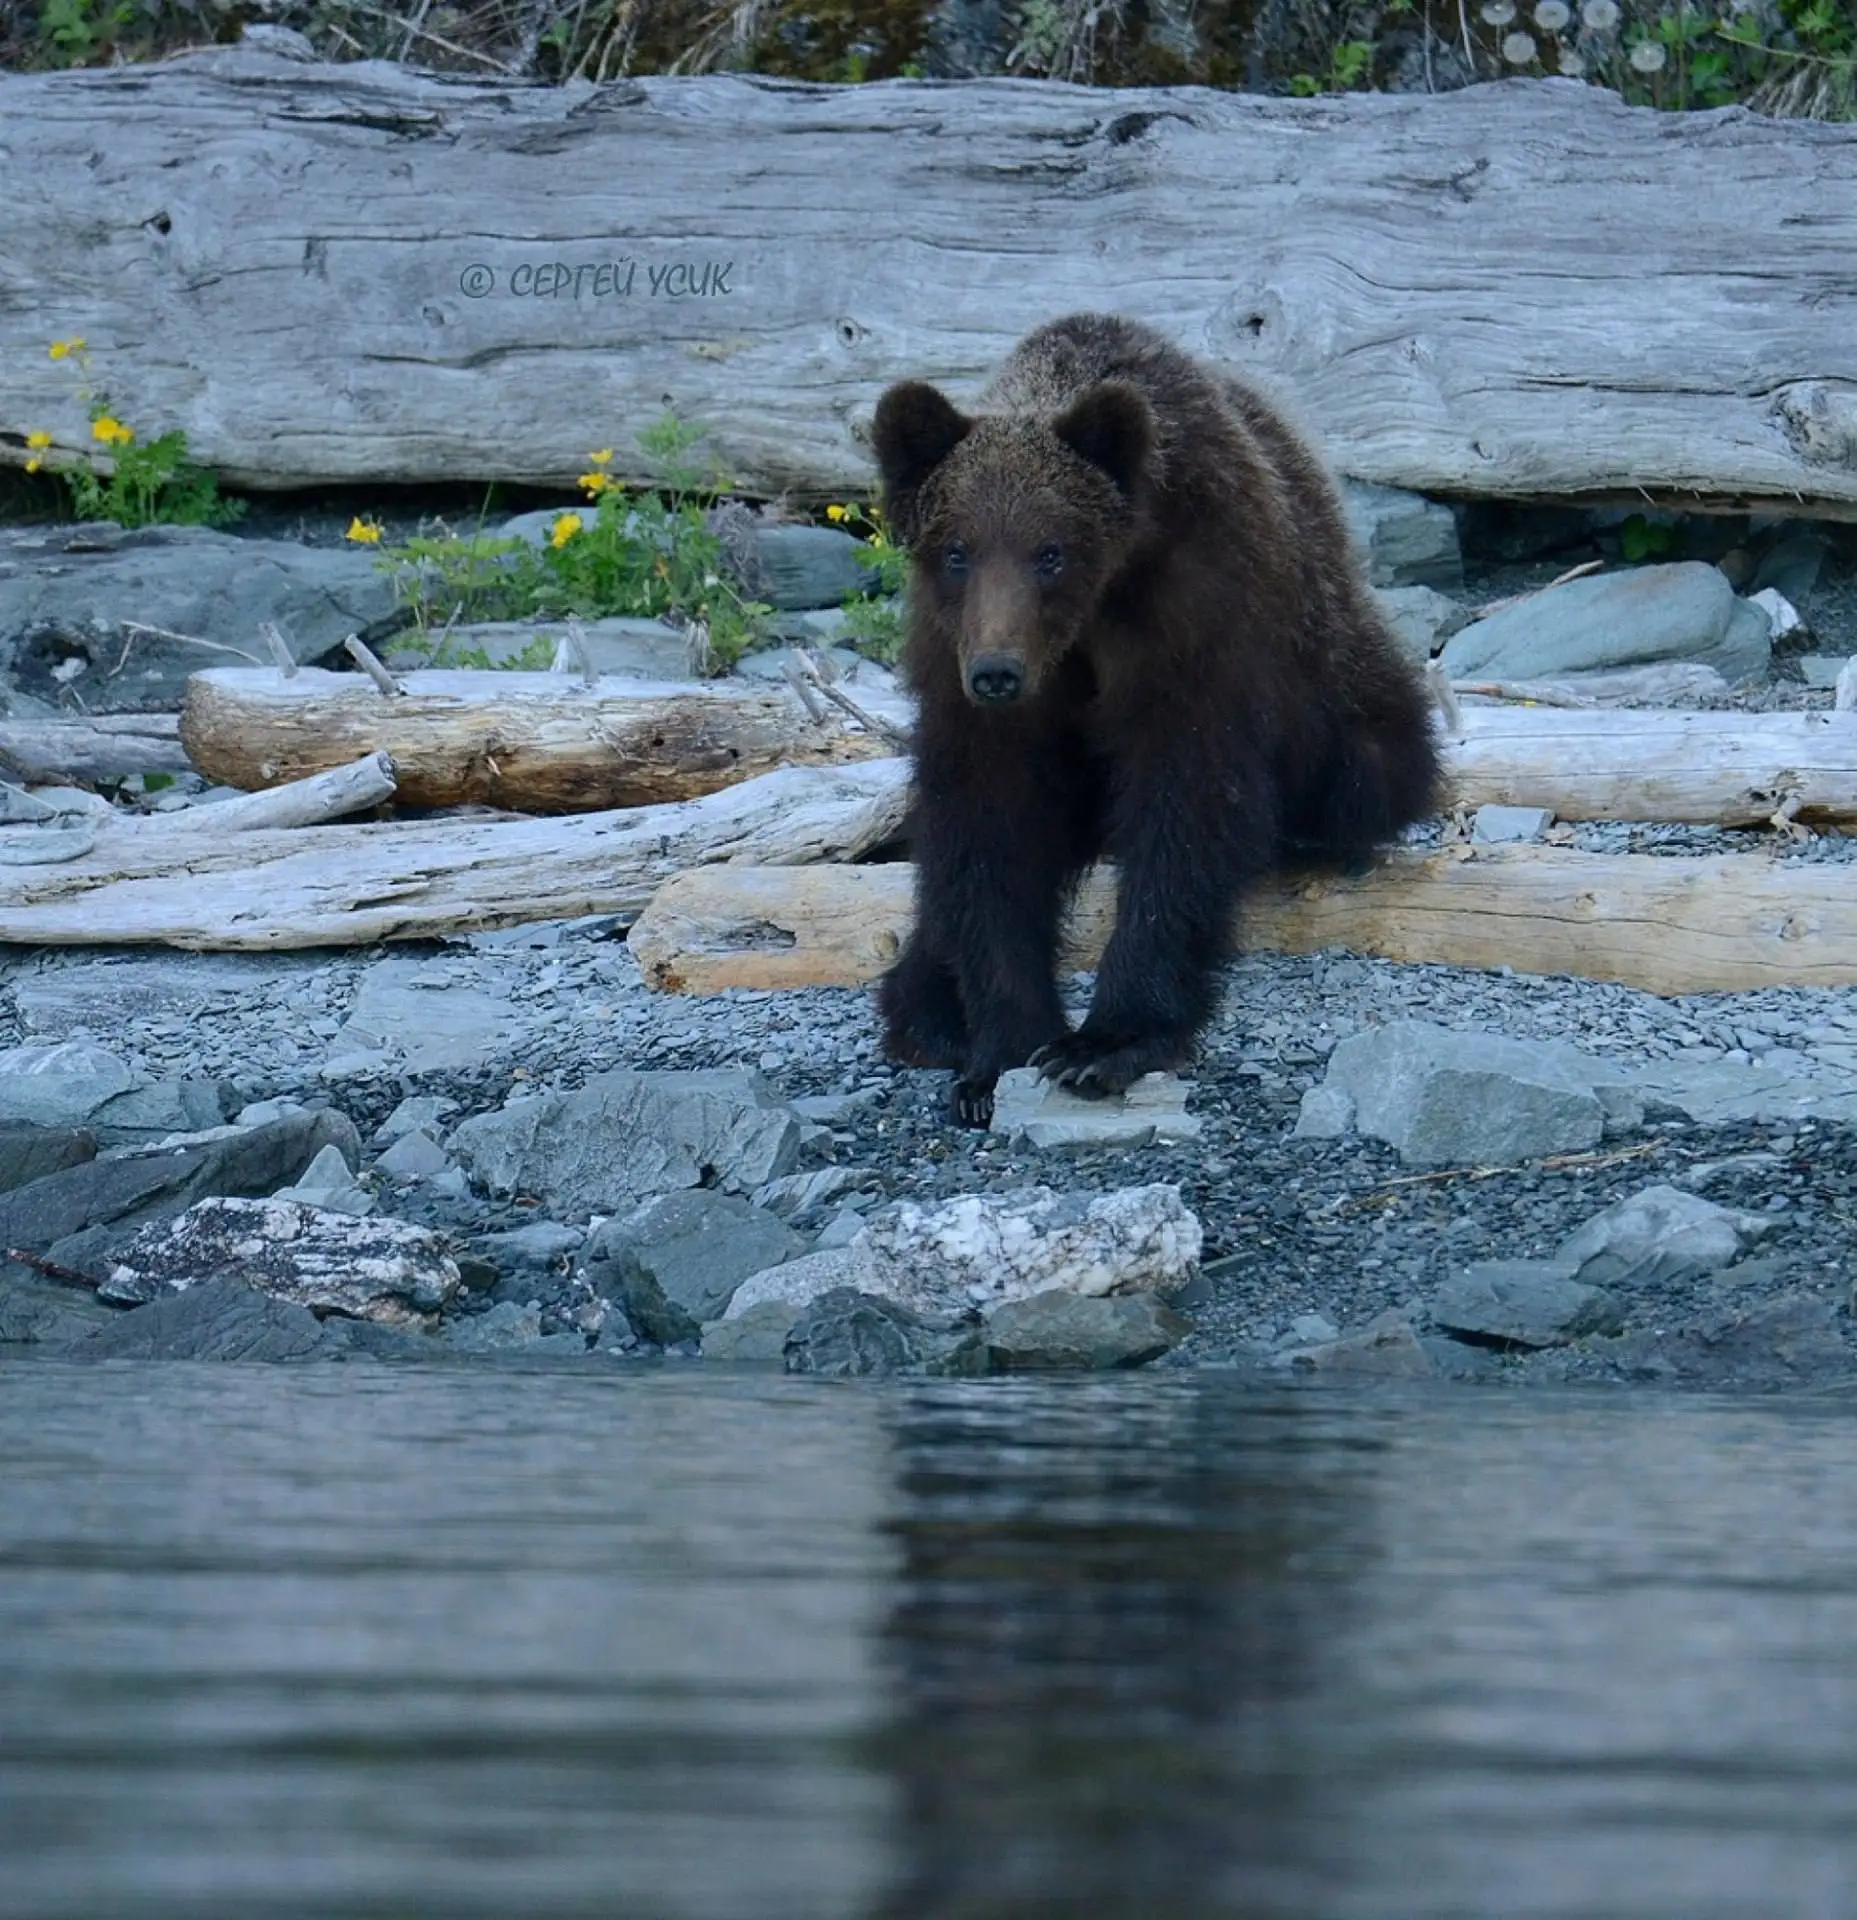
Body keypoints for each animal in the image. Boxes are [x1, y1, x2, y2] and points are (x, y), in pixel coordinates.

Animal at [871, 312, 1442, 1127]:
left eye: (1050, 552)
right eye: (957, 550)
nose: (997, 672)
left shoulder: (1199, 618)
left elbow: (1185, 802)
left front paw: (1105, 1042)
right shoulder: (961, 667)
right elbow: (987, 828)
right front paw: (998, 1048)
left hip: (1341, 694)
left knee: (1362, 776)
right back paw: (925, 1005)